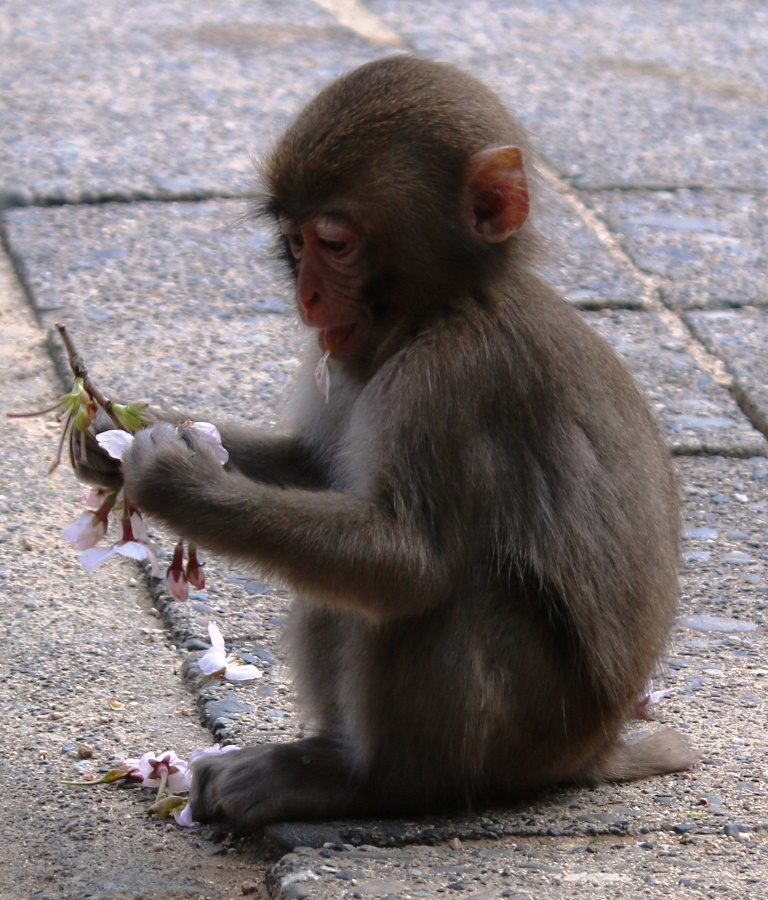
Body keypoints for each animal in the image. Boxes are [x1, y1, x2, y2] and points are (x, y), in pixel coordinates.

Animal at [76, 54, 696, 828]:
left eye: (335, 244)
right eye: (294, 243)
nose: (307, 298)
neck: (442, 310)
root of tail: (596, 750)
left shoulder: (454, 384)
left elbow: (410, 564)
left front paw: (178, 482)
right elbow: (317, 472)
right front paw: (110, 436)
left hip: (531, 731)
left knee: (448, 591)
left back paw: (368, 784)